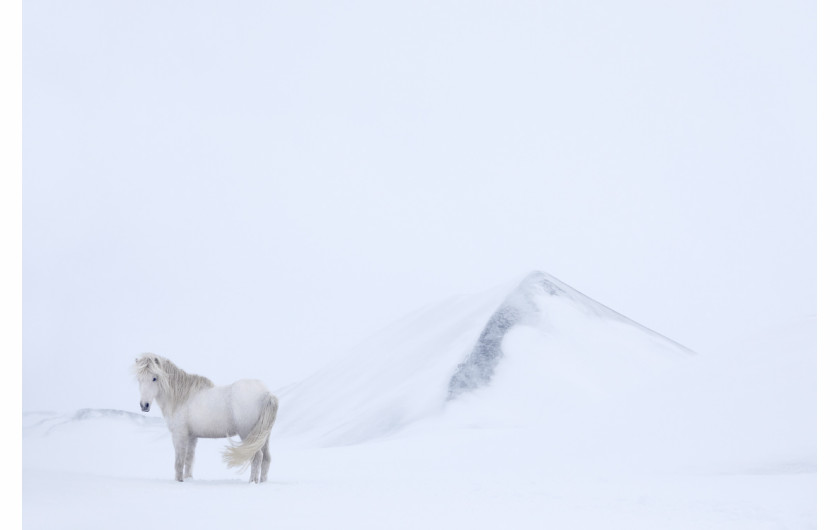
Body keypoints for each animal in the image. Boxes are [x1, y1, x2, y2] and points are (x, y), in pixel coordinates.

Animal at [133, 352, 278, 480]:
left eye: (154, 378)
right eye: (139, 379)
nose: (144, 405)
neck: (181, 398)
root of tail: (267, 393)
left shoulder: (179, 435)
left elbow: (179, 462)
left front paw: (179, 481)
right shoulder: (192, 437)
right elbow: (189, 460)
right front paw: (188, 479)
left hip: (248, 434)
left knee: (257, 457)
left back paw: (252, 482)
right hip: (263, 435)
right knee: (266, 458)